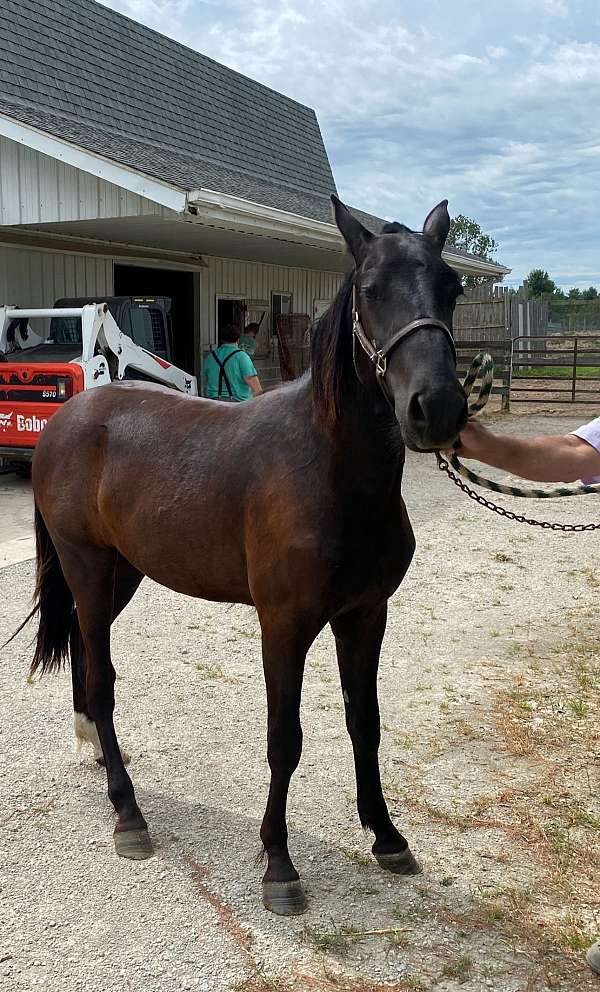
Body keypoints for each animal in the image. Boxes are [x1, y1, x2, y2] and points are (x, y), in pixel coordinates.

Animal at [18, 198, 466, 920]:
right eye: (371, 290)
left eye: (451, 287)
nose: (438, 408)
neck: (330, 473)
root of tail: (69, 416)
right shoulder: (283, 626)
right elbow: (285, 739)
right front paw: (278, 866)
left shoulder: (366, 616)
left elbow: (364, 723)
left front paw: (387, 836)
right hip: (86, 564)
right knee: (104, 675)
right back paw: (128, 814)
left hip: (122, 571)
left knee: (88, 652)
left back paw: (97, 753)